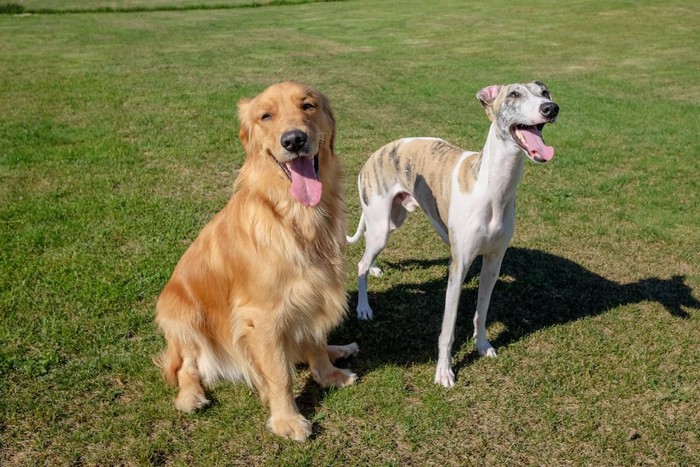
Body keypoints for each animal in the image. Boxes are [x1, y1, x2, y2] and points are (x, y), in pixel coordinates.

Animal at [155, 81, 358, 442]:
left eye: (307, 105)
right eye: (266, 116)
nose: (294, 140)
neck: (296, 218)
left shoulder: (313, 291)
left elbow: (316, 342)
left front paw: (329, 374)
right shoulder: (262, 317)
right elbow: (280, 375)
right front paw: (287, 420)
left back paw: (341, 348)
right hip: (182, 315)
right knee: (186, 367)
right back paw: (191, 396)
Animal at [348, 81, 560, 388]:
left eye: (544, 92)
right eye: (514, 94)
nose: (551, 109)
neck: (491, 189)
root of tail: (377, 152)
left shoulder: (493, 262)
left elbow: (481, 312)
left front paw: (482, 345)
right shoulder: (458, 266)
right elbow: (447, 330)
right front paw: (444, 372)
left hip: (391, 221)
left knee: (369, 256)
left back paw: (375, 269)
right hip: (379, 226)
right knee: (360, 263)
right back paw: (364, 308)